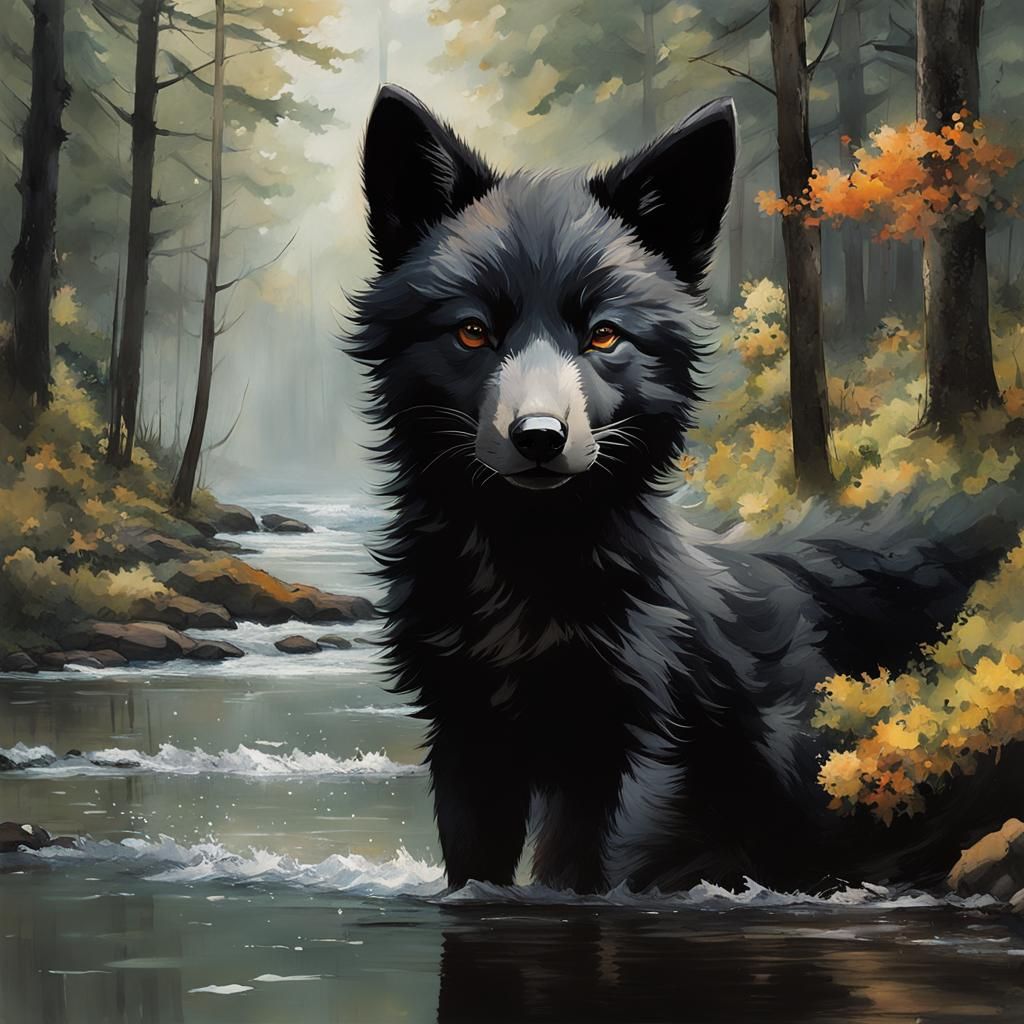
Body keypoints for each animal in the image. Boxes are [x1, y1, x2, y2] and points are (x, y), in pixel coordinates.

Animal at [350, 85, 1024, 895]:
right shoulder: (468, 739)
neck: (530, 580)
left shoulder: (638, 752)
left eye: (604, 335)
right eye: (474, 331)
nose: (539, 436)